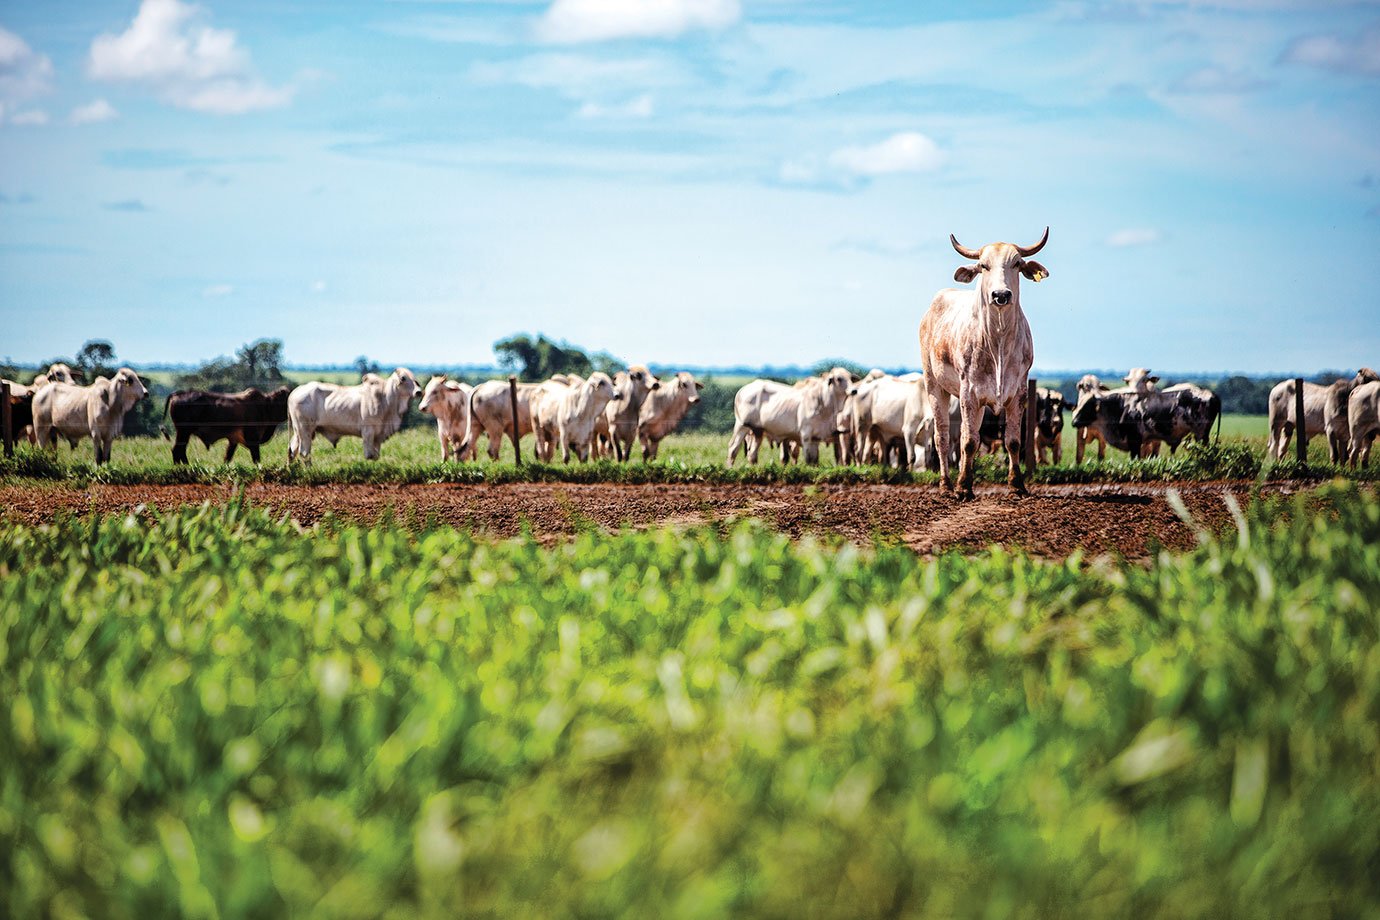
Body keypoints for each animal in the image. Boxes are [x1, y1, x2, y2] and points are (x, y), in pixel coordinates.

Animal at [166, 386, 296, 463]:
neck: (266, 406)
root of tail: (177, 394)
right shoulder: (252, 440)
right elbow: (256, 458)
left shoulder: (233, 440)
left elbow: (227, 457)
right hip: (183, 432)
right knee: (177, 450)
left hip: (184, 433)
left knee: (179, 451)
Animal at [285, 369, 419, 463]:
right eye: (403, 378)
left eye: (414, 378)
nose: (418, 392)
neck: (385, 397)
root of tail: (294, 392)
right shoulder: (368, 431)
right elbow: (371, 455)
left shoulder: (378, 435)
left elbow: (376, 455)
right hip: (305, 430)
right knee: (304, 453)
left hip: (299, 431)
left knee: (292, 450)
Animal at [921, 230, 1048, 504]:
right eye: (983, 265)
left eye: (1017, 263)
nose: (1001, 295)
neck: (997, 339)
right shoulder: (969, 392)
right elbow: (969, 442)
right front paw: (964, 488)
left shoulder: (1018, 393)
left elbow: (1012, 441)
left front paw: (1016, 485)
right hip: (934, 385)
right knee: (942, 436)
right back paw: (947, 485)